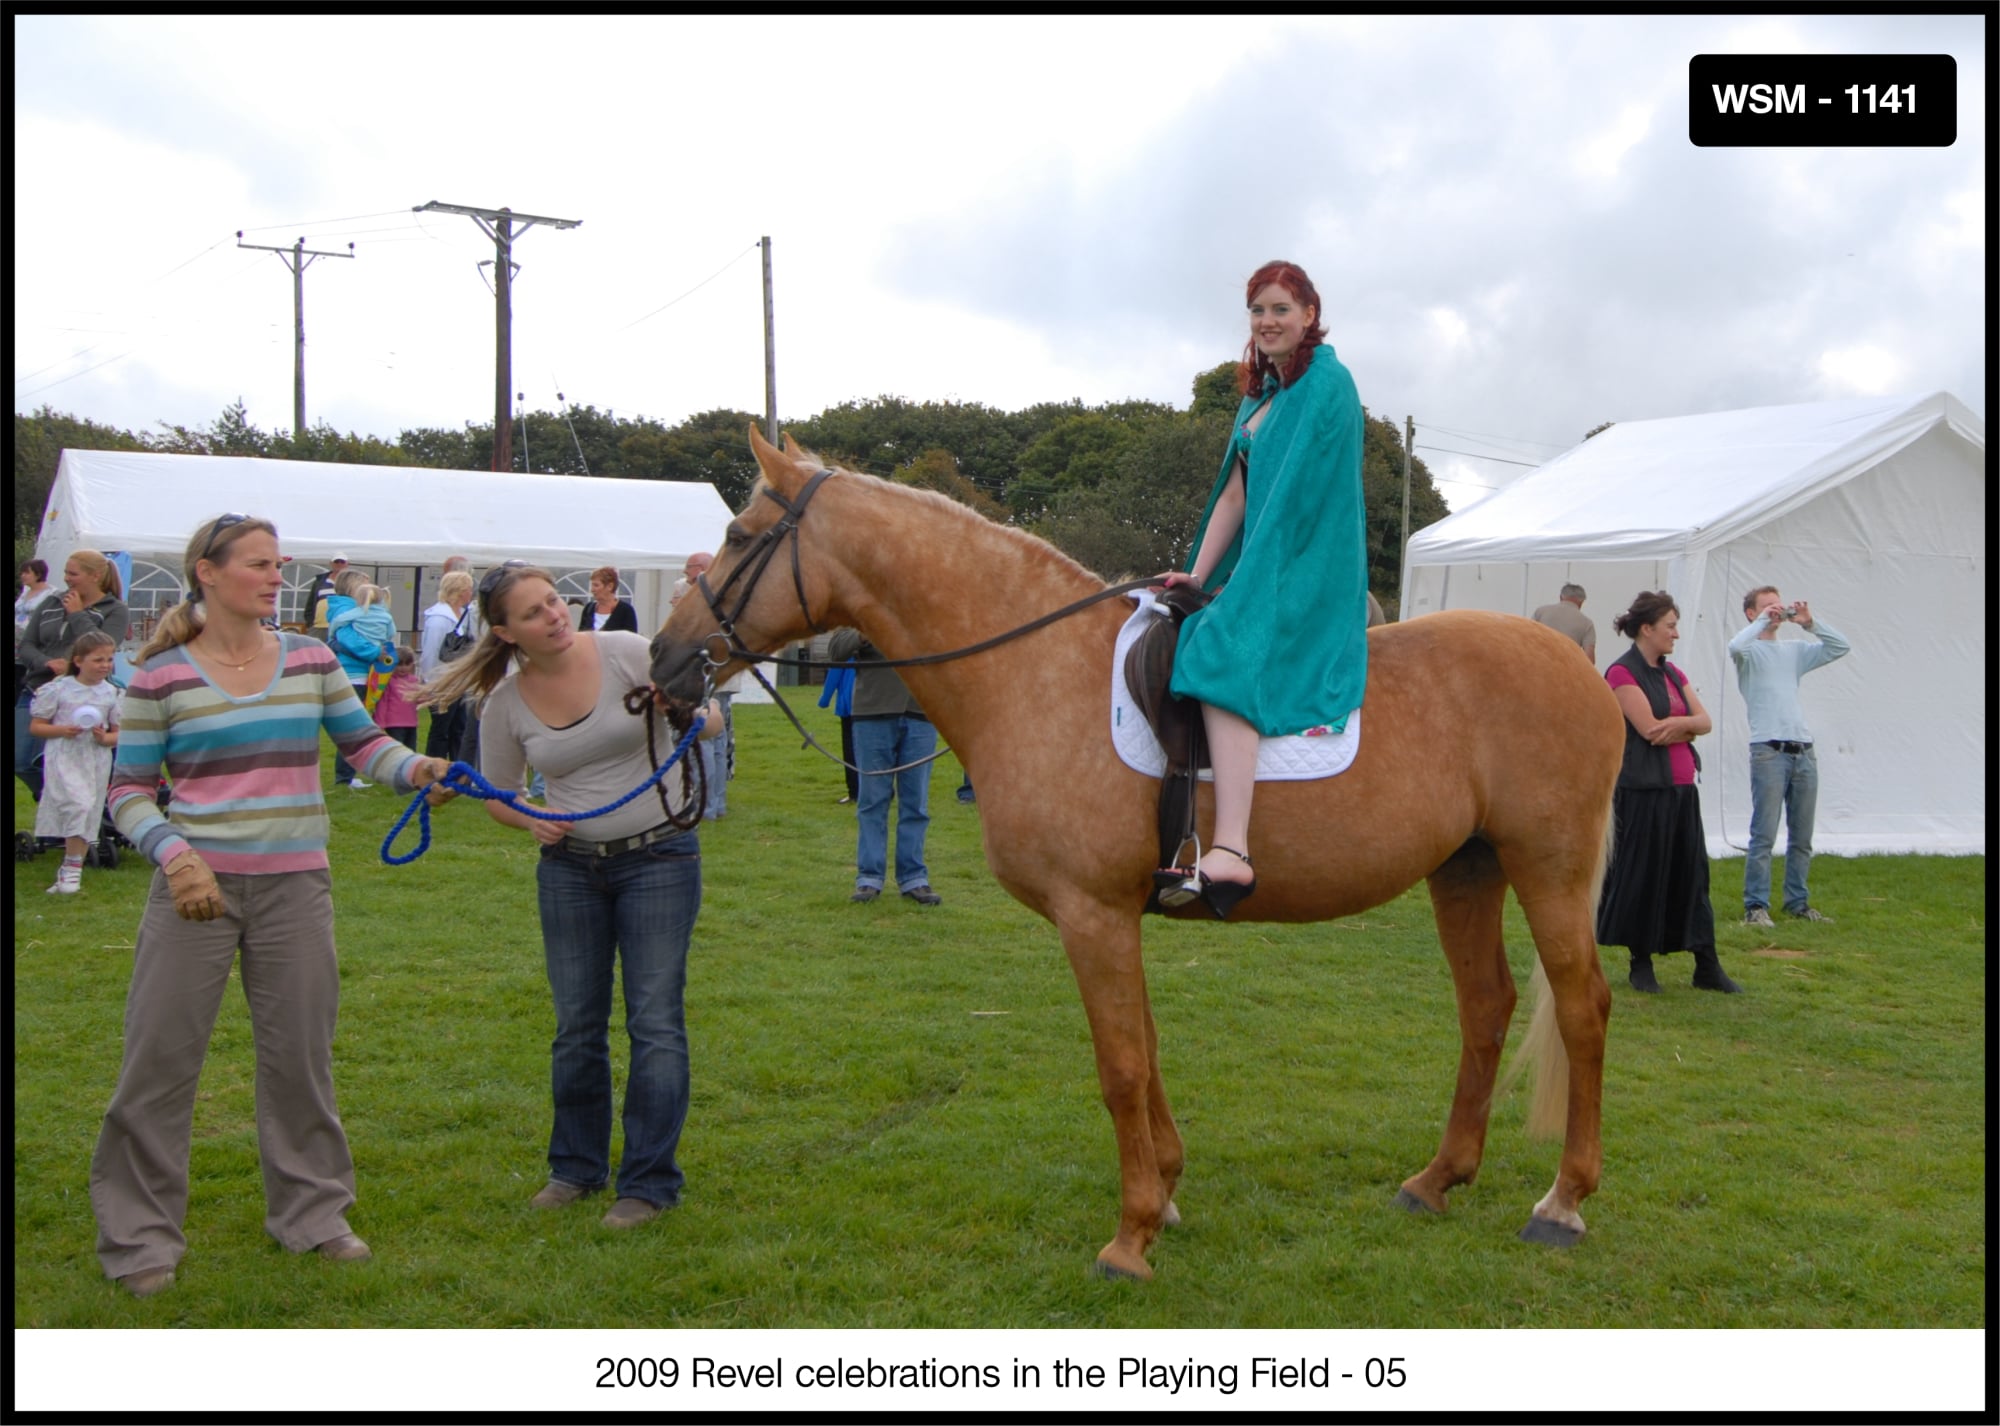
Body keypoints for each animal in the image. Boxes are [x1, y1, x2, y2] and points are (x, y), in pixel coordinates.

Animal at [656, 426, 1624, 1280]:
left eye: (738, 537)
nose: (665, 662)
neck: (1039, 668)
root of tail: (1580, 667)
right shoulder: (1123, 915)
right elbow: (1149, 1050)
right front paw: (1166, 1193)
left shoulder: (1092, 915)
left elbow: (1120, 1067)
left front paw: (1130, 1236)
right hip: (1467, 869)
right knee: (1486, 1007)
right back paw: (1437, 1179)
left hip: (1548, 868)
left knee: (1582, 1009)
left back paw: (1563, 1202)